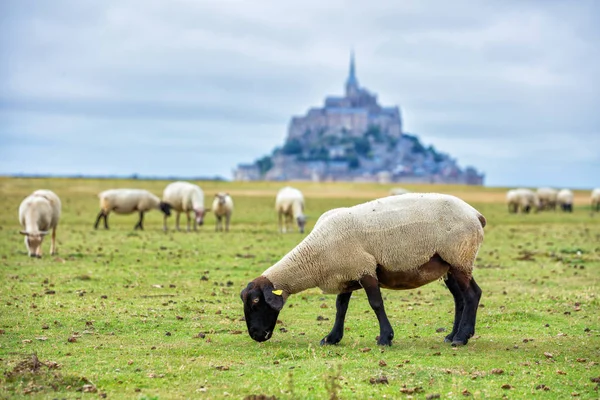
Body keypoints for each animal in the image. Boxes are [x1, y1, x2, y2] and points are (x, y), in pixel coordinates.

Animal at [241, 194, 486, 346]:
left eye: (256, 302)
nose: (255, 335)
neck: (314, 255)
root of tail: (475, 214)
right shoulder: (345, 273)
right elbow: (340, 308)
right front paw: (331, 338)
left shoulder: (364, 269)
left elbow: (376, 304)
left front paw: (385, 338)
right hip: (449, 264)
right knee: (460, 299)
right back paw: (452, 335)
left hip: (459, 257)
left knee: (472, 295)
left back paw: (461, 337)